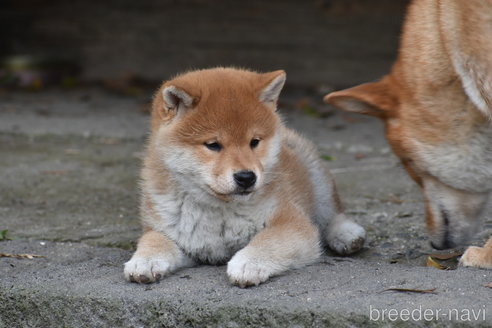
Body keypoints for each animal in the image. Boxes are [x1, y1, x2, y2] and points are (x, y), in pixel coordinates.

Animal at [124, 68, 366, 286]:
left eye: (254, 142)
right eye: (213, 145)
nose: (246, 177)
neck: (220, 212)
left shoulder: (291, 221)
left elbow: (268, 241)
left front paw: (248, 263)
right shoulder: (174, 232)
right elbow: (154, 239)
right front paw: (144, 261)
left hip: (317, 178)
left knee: (332, 214)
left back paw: (347, 235)